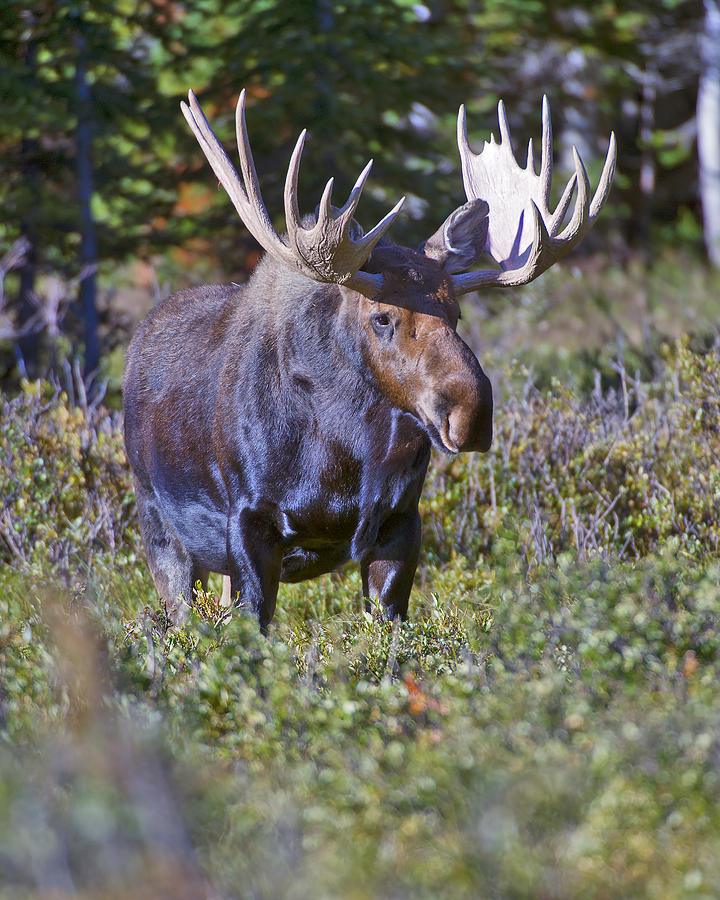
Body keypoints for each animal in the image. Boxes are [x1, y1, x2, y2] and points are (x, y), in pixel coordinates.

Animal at [122, 88, 612, 628]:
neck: (343, 456)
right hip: (159, 526)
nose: (470, 411)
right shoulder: (249, 523)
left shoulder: (401, 521)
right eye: (381, 317)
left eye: (457, 312)